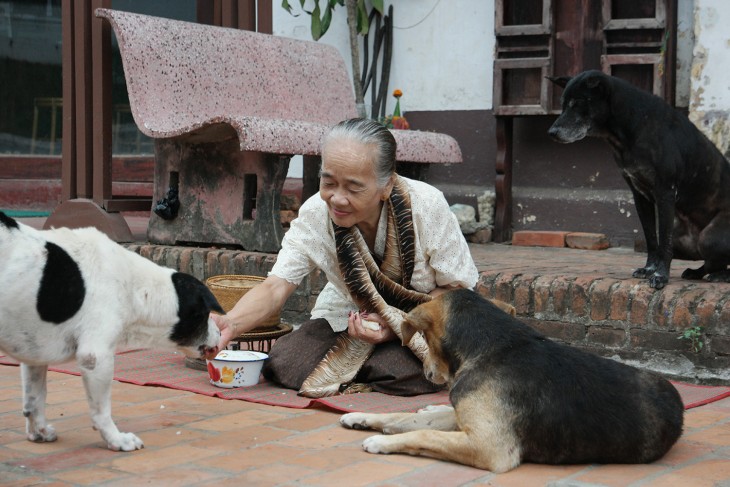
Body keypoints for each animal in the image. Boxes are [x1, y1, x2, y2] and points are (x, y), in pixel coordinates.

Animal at [0, 212, 222, 452]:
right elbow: (101, 412)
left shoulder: (35, 354)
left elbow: (34, 400)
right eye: (206, 315)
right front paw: (116, 439)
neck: (135, 287)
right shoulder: (96, 357)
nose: (220, 334)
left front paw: (38, 431)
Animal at [342, 290, 684, 472]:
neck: (493, 346)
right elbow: (403, 418)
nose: (426, 371)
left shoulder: (489, 446)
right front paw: (362, 418)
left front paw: (382, 442)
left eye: (424, 337)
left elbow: (423, 435)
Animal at [544, 69, 728, 290]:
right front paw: (649, 269)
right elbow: (652, 239)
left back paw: (720, 276)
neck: (630, 128)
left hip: (708, 238)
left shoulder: (665, 192)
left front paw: (660, 275)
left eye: (577, 103)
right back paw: (696, 272)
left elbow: (663, 242)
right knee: (709, 262)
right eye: (563, 105)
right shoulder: (640, 196)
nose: (551, 133)